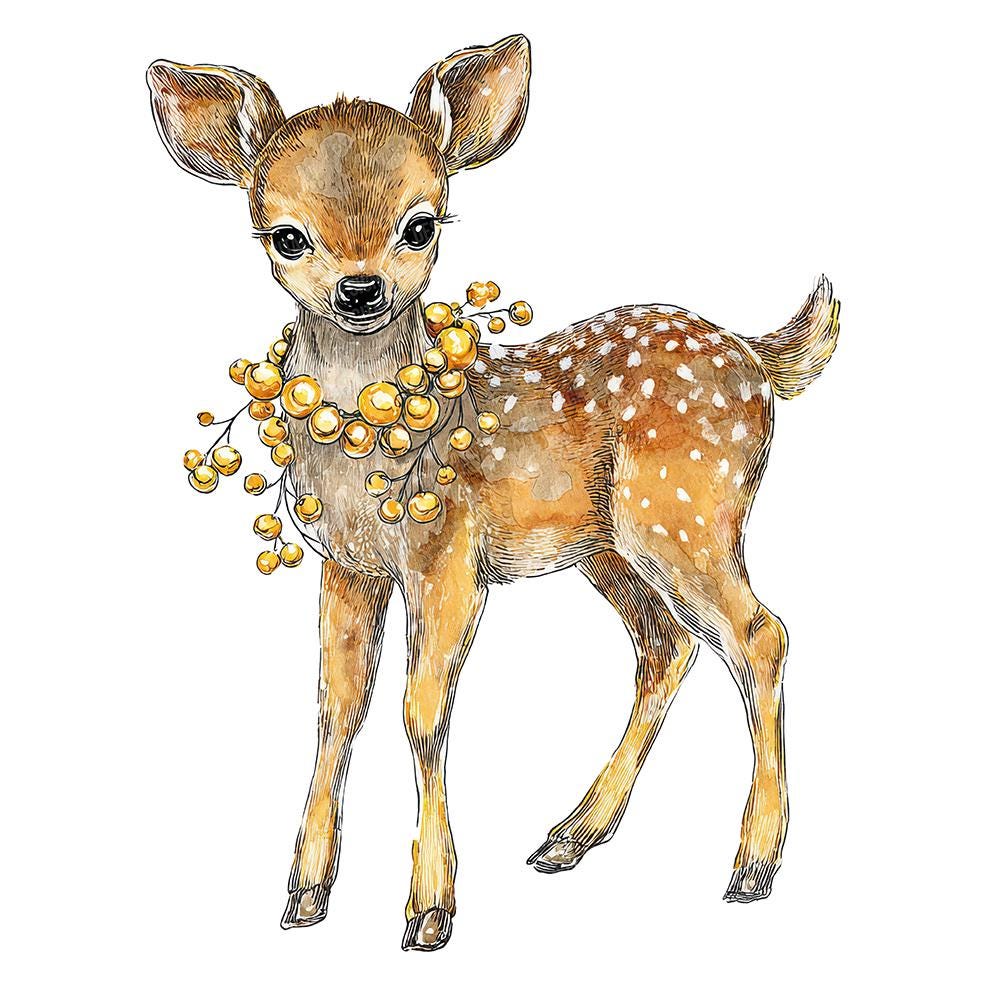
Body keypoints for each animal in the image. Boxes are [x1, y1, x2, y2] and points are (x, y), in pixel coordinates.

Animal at [146, 33, 839, 952]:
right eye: (286, 236)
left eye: (420, 223)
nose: (359, 289)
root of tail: (758, 357)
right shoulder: (348, 565)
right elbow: (338, 707)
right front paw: (305, 893)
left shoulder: (449, 557)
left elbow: (420, 710)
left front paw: (429, 909)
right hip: (607, 546)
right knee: (667, 645)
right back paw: (569, 837)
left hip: (687, 513)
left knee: (760, 635)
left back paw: (752, 866)